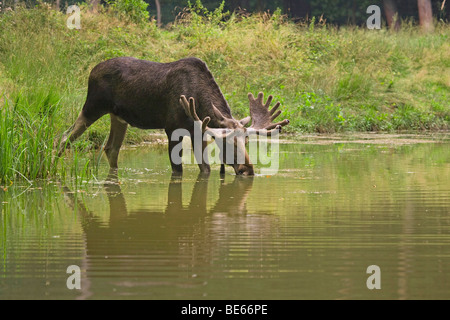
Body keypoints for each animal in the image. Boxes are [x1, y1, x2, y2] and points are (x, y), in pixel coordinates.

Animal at [58, 57, 290, 175]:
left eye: (247, 140)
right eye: (225, 142)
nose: (247, 169)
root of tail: (91, 71)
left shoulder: (199, 132)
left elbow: (205, 169)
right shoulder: (171, 129)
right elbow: (177, 170)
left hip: (118, 117)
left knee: (110, 148)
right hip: (92, 106)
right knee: (64, 137)